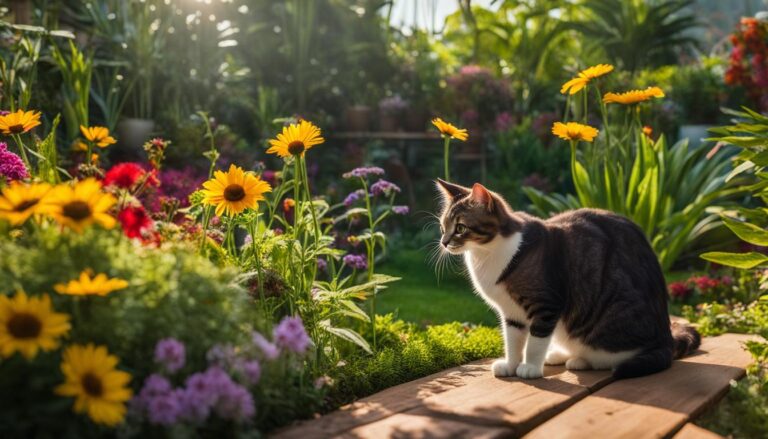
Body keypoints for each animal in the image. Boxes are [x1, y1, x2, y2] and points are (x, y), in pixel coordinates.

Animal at [436, 180, 700, 380]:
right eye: (443, 226)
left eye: (460, 228)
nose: (444, 242)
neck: (487, 254)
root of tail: (666, 338)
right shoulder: (511, 312)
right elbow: (513, 340)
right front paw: (511, 365)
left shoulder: (546, 303)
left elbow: (536, 340)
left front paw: (530, 367)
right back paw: (560, 355)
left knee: (612, 358)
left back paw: (580, 360)